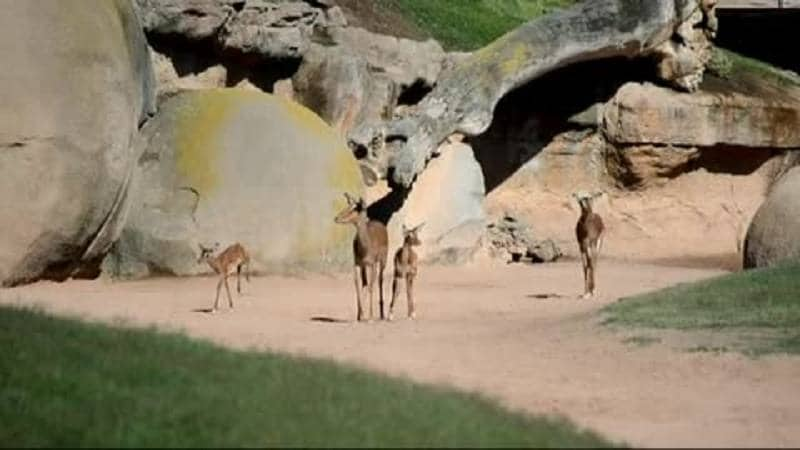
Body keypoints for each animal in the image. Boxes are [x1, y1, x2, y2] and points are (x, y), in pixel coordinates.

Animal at [334, 192, 390, 322]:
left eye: (355, 209)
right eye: (348, 206)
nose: (337, 218)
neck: (365, 247)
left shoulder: (372, 264)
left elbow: (371, 287)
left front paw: (370, 317)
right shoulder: (357, 264)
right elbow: (358, 286)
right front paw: (359, 316)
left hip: (383, 261)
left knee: (379, 280)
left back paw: (381, 314)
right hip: (365, 267)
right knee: (365, 284)